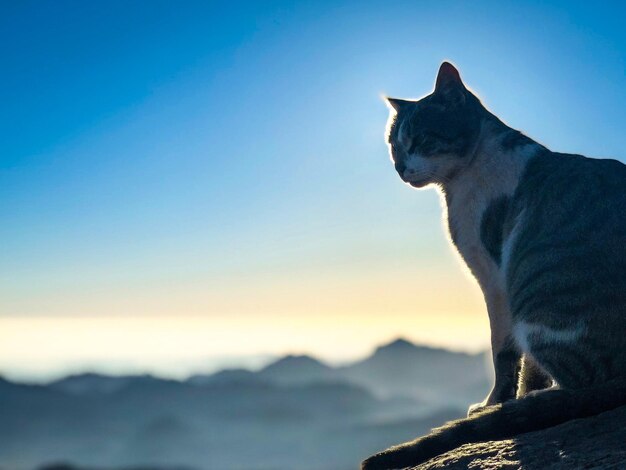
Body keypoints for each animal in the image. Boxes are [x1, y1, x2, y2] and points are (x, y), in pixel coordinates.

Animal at [360, 62, 624, 470]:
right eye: (393, 146)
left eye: (419, 140)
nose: (400, 168)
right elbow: (527, 365)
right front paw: (514, 401)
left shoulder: (496, 276)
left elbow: (503, 350)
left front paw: (496, 405)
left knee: (582, 380)